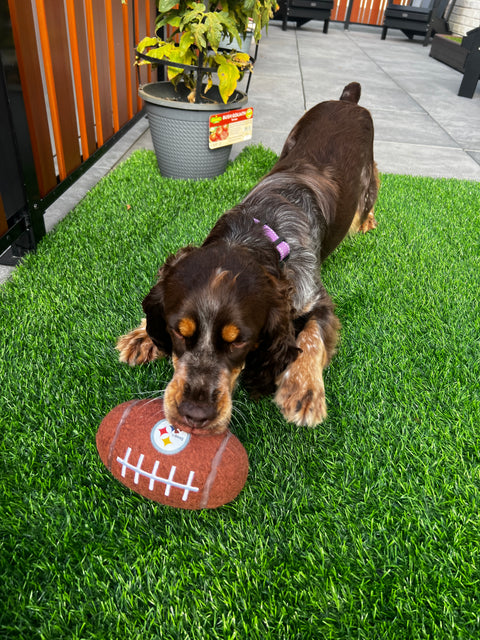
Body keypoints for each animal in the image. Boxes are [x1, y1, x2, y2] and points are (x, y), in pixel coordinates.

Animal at [117, 82, 378, 436]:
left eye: (240, 342)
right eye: (178, 332)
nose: (194, 415)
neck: (255, 234)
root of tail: (347, 100)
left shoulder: (316, 298)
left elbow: (311, 335)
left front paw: (304, 388)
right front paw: (142, 335)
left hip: (367, 174)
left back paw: (367, 222)